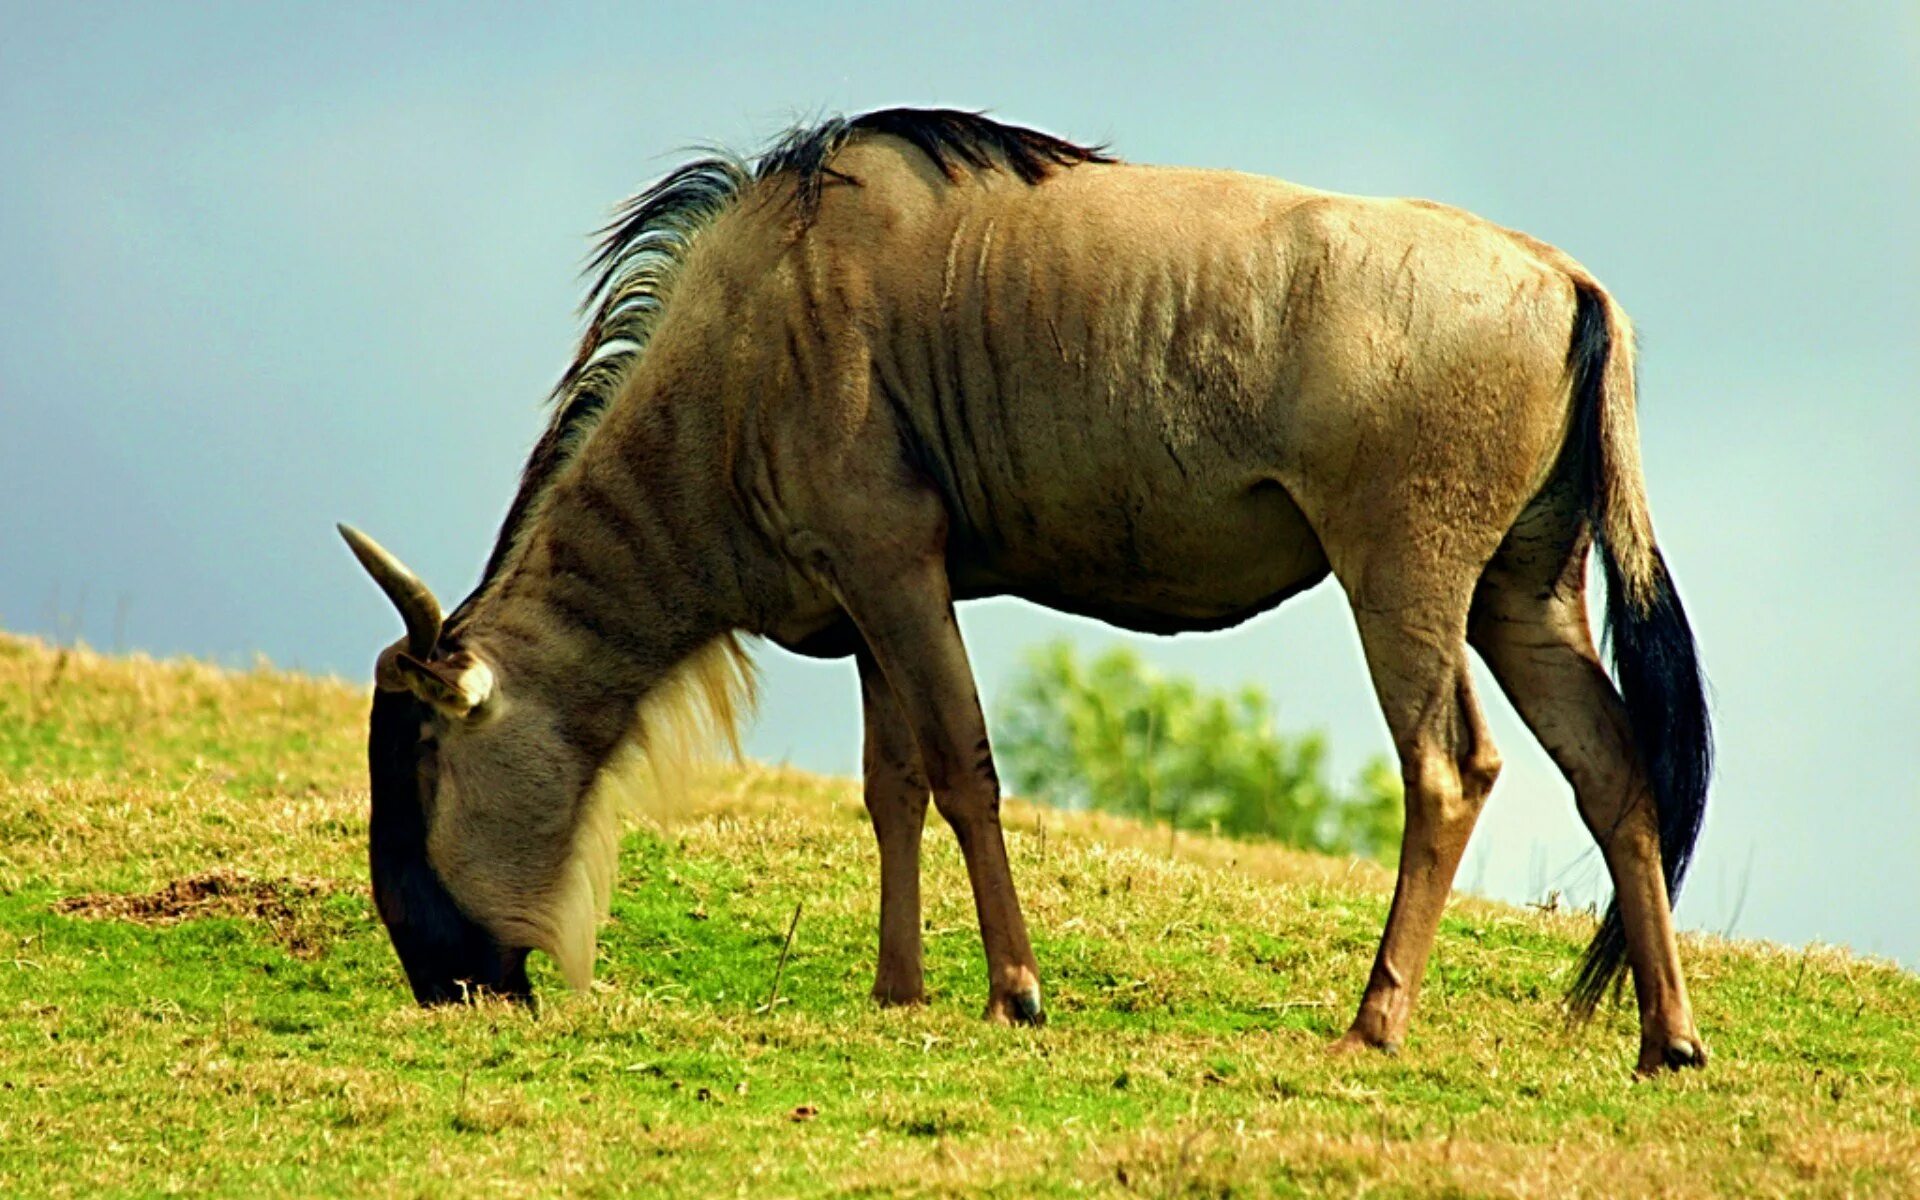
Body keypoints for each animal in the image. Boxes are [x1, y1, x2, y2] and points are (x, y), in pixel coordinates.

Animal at [341, 107, 1712, 1075]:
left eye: (420, 760)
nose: (434, 970)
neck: (743, 346)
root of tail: (1568, 282)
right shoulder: (865, 604)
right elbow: (890, 786)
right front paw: (897, 989)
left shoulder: (899, 571)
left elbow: (964, 769)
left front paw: (1015, 992)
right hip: (1523, 595)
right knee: (1613, 770)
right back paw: (1668, 1040)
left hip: (1406, 577)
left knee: (1449, 767)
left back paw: (1374, 1023)